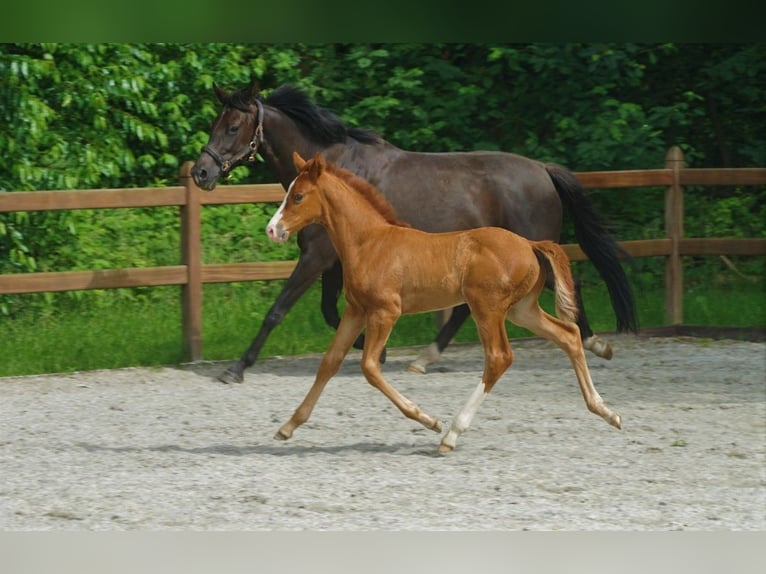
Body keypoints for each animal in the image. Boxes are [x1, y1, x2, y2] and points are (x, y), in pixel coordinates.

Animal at [192, 83, 636, 384]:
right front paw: (375, 348)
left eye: (233, 126)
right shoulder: (335, 261)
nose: (201, 172)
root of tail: (543, 169)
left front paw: (236, 368)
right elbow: (330, 311)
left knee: (564, 284)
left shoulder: (316, 257)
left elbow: (278, 309)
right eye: (216, 123)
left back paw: (595, 343)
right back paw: (426, 356)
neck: (334, 173)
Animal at [268, 153, 620, 454]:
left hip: (488, 308)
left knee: (499, 357)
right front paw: (288, 426)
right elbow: (329, 362)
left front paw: (429, 420)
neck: (370, 242)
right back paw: (606, 411)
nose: (273, 229)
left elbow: (369, 367)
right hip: (522, 310)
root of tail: (529, 243)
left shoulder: (385, 312)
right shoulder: (356, 311)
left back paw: (451, 433)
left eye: (297, 196)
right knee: (568, 335)